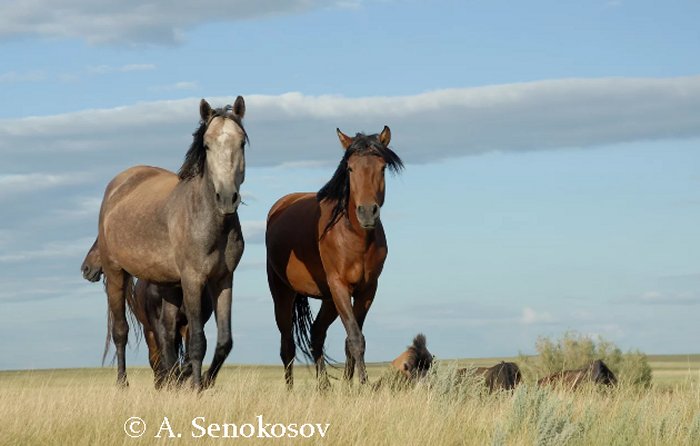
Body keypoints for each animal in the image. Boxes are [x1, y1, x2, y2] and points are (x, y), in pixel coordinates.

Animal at [93, 96, 246, 388]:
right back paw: (122, 384)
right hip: (117, 273)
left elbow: (224, 341)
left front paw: (203, 381)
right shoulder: (193, 279)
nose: (227, 198)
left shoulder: (224, 279)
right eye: (206, 145)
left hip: (167, 286)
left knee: (167, 338)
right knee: (121, 332)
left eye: (241, 142)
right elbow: (197, 341)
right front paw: (196, 387)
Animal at [264, 124, 404, 386]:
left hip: (328, 299)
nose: (367, 212)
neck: (355, 237)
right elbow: (356, 338)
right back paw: (291, 390)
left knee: (316, 334)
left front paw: (350, 387)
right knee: (287, 345)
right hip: (283, 293)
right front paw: (364, 385)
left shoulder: (367, 289)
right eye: (350, 168)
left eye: (382, 168)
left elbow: (352, 340)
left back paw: (324, 388)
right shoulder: (340, 286)